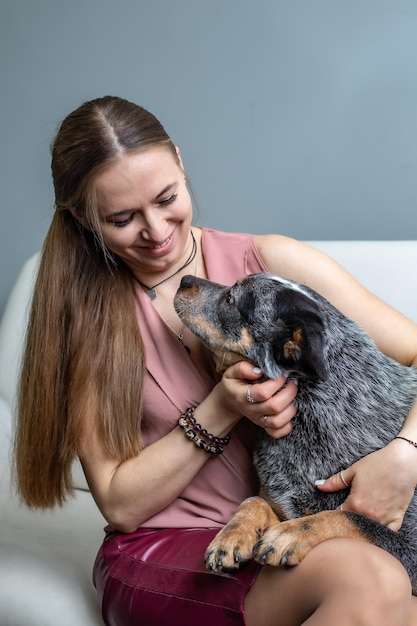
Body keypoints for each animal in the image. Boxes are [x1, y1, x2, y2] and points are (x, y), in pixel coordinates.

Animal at [173, 272, 417, 588]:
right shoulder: (278, 500)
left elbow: (351, 518)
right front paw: (232, 535)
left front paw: (291, 534)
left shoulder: (410, 546)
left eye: (231, 298)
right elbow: (254, 500)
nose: (184, 278)